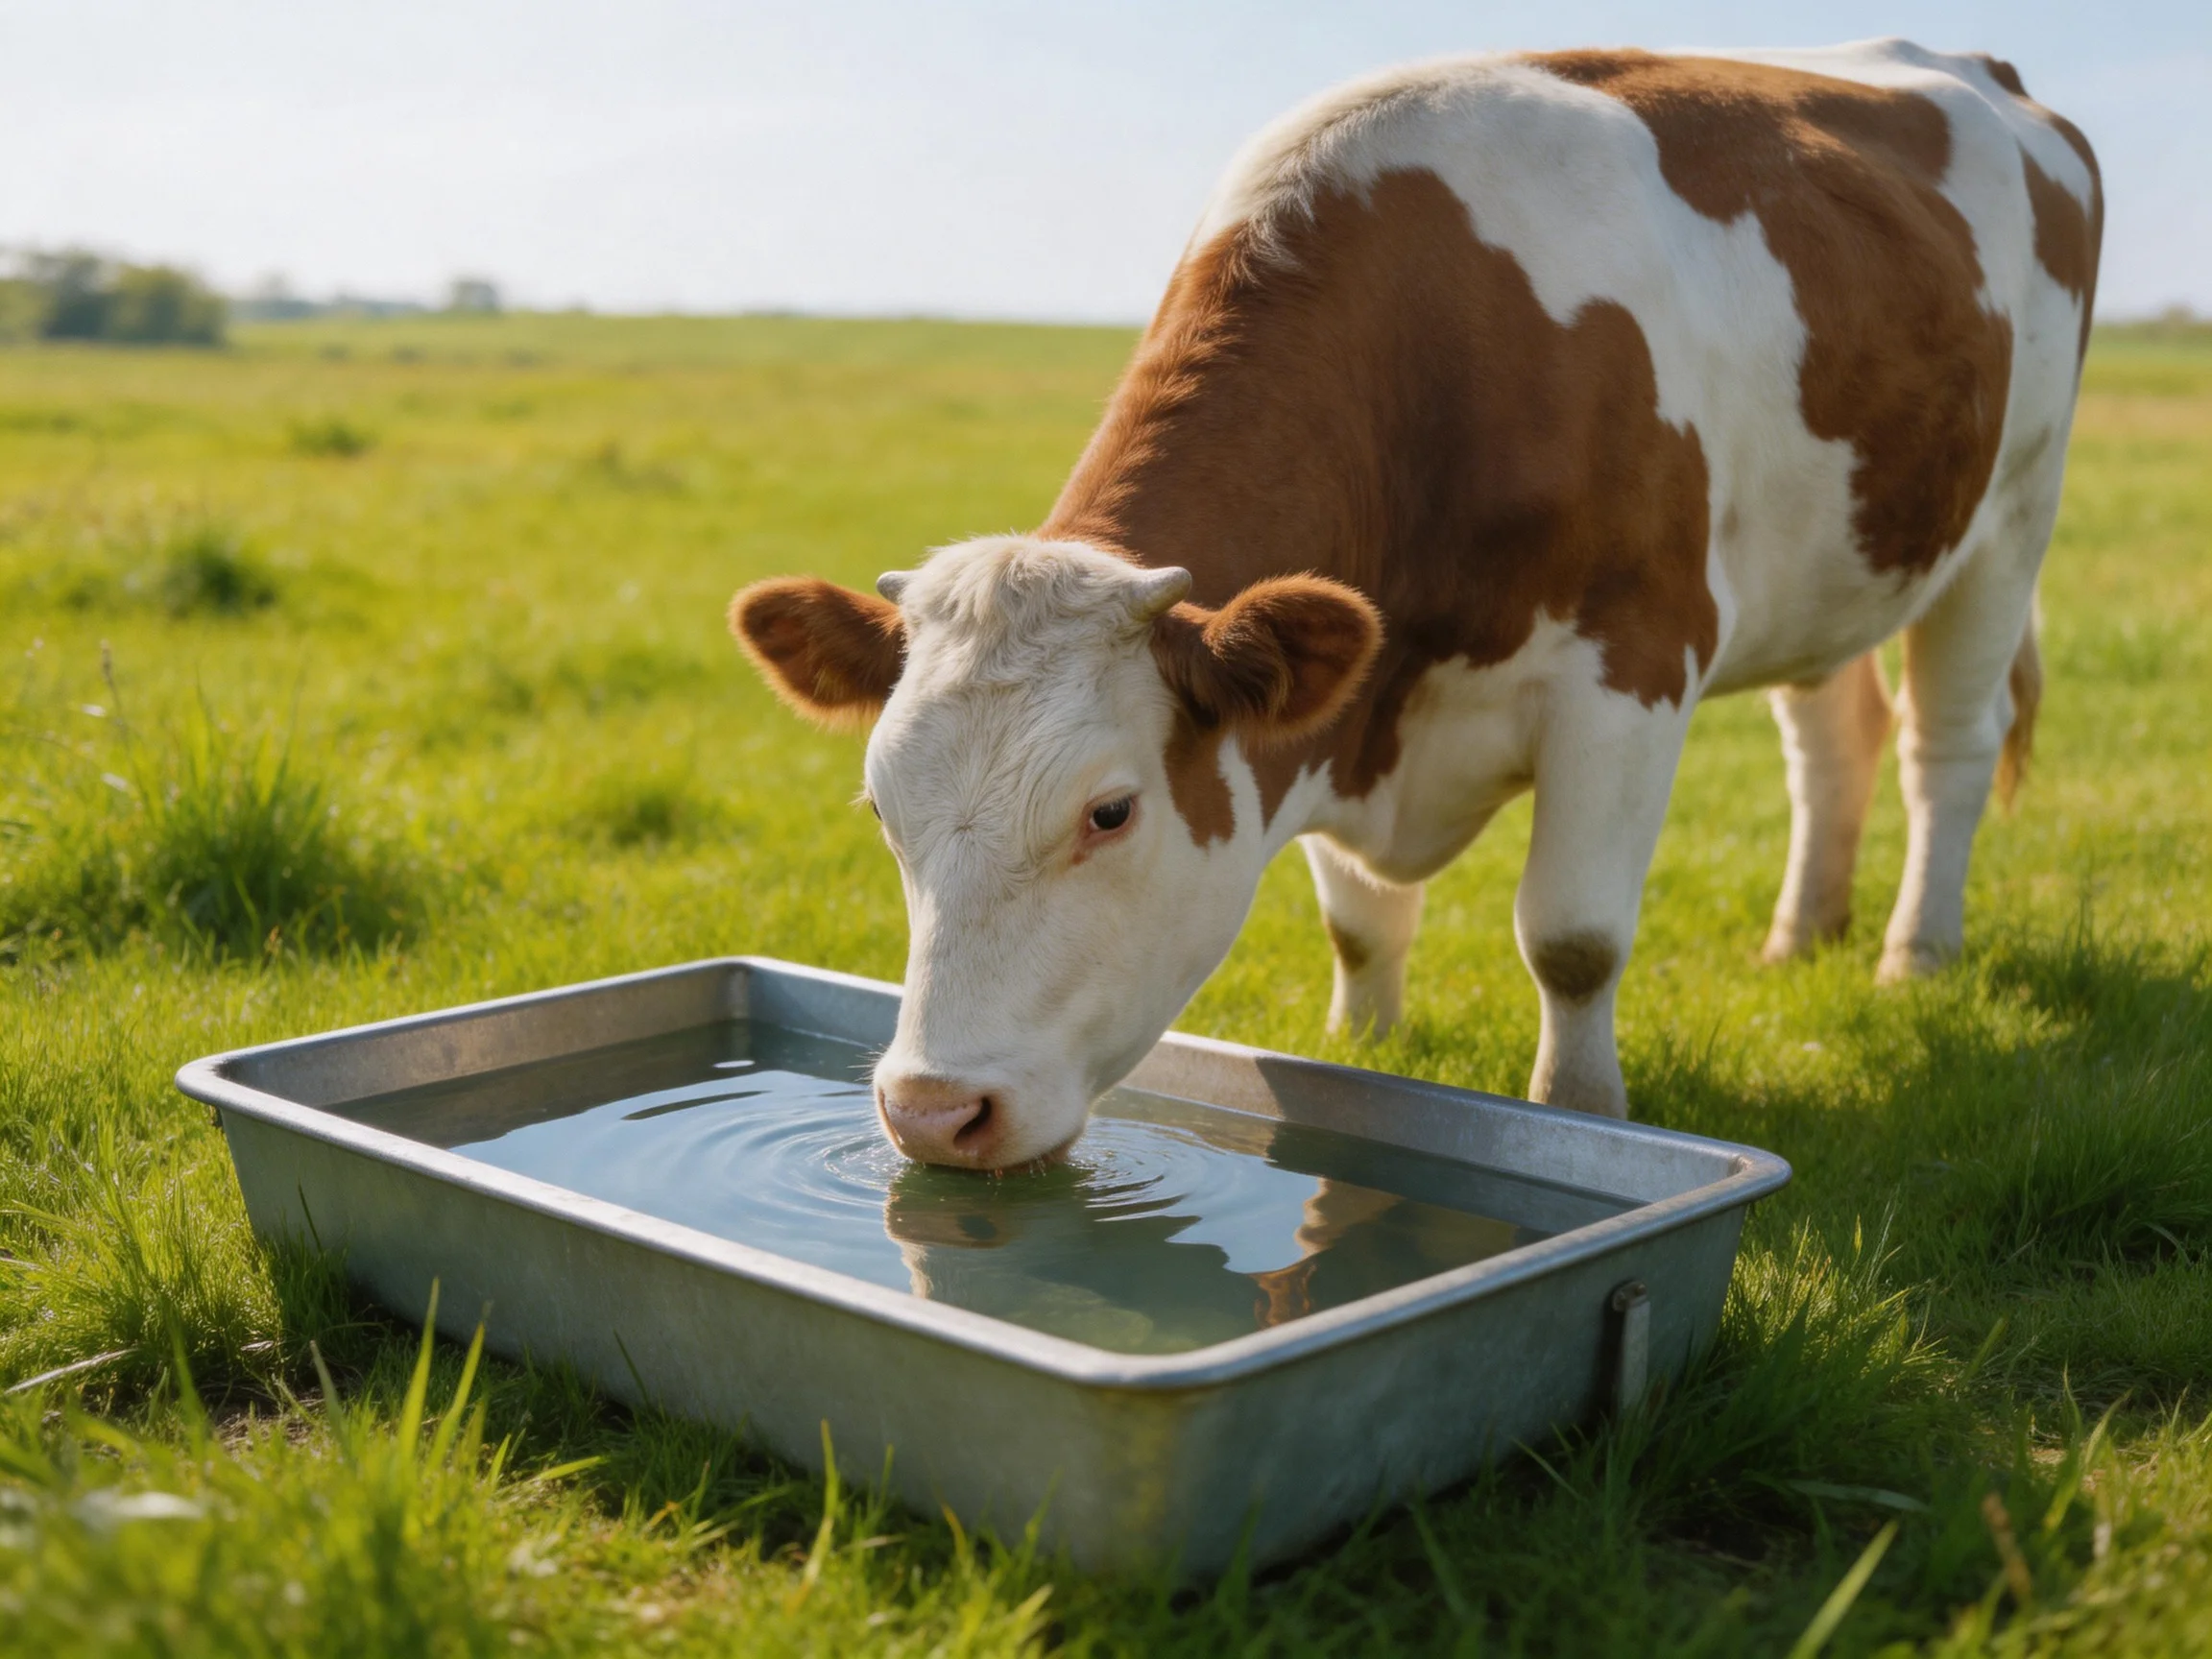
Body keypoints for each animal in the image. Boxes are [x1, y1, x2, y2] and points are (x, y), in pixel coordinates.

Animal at [731, 40, 2102, 1170]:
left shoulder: (1633, 665)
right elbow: (1359, 925)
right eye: (882, 807)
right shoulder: (1334, 705)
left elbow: (1572, 938)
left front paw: (1580, 1112)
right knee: (1832, 740)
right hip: (1838, 553)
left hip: (2014, 516)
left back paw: (1914, 957)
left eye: (1110, 812)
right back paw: (1801, 936)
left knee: (1947, 747)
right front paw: (1369, 1056)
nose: (932, 1113)